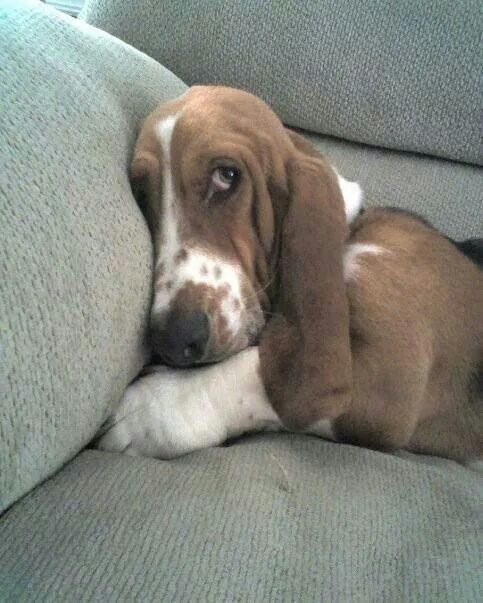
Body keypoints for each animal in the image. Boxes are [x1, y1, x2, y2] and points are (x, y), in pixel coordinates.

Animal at [96, 85, 482, 462]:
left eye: (226, 175)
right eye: (142, 194)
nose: (174, 339)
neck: (349, 235)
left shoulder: (391, 379)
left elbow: (266, 374)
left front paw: (148, 414)